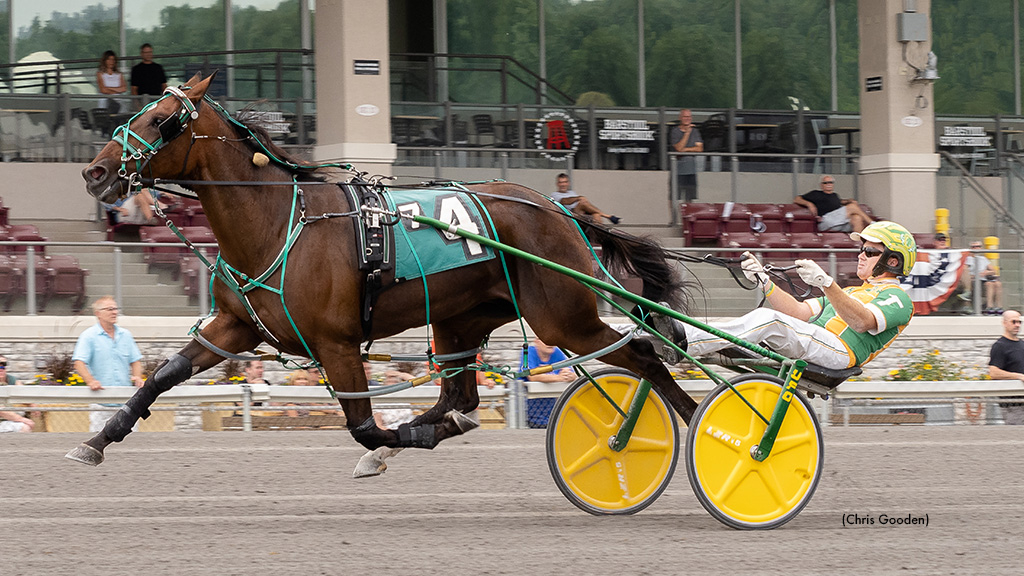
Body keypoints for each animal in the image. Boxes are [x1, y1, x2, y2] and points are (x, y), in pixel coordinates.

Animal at [68, 72, 700, 471]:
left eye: (162, 119)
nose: (95, 172)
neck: (278, 223)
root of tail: (559, 207)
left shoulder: (338, 343)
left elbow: (364, 425)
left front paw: (393, 442)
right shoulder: (237, 325)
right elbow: (164, 374)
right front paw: (97, 439)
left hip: (561, 316)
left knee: (642, 354)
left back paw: (703, 425)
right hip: (460, 322)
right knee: (459, 396)